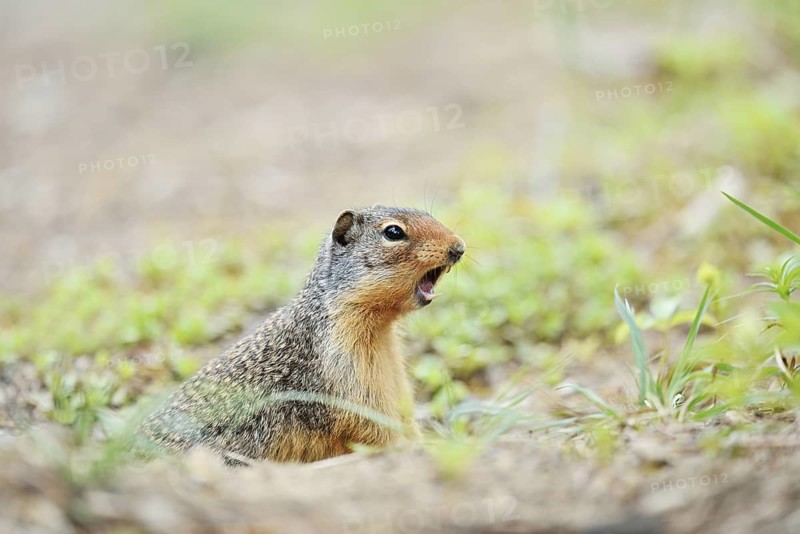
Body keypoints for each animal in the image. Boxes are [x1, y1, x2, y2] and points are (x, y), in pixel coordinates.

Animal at [138, 206, 465, 464]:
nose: (459, 247)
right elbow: (368, 423)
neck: (380, 330)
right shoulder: (345, 372)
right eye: (393, 232)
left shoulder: (392, 374)